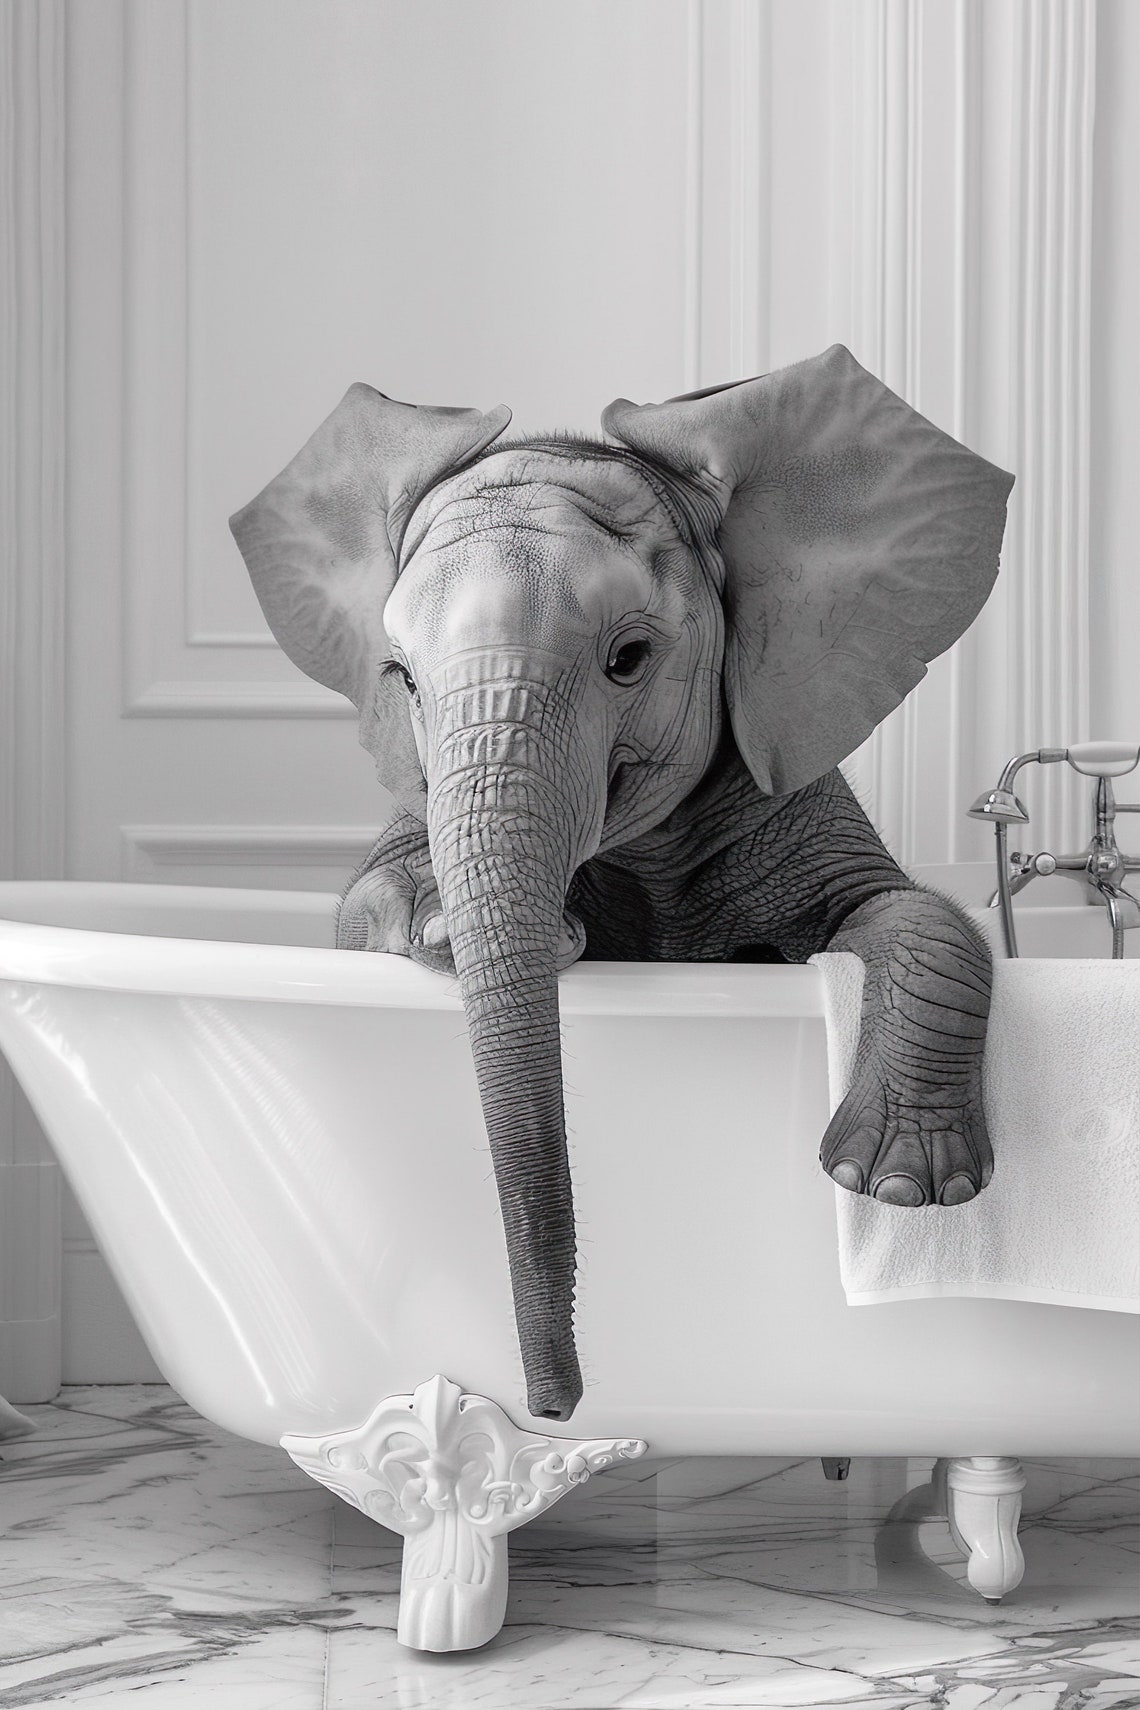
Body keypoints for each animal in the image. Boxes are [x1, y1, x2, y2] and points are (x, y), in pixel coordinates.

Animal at [231, 344, 1013, 1425]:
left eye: (629, 658)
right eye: (405, 681)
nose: (553, 1409)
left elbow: (911, 913)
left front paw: (902, 1190)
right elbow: (355, 908)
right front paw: (439, 924)